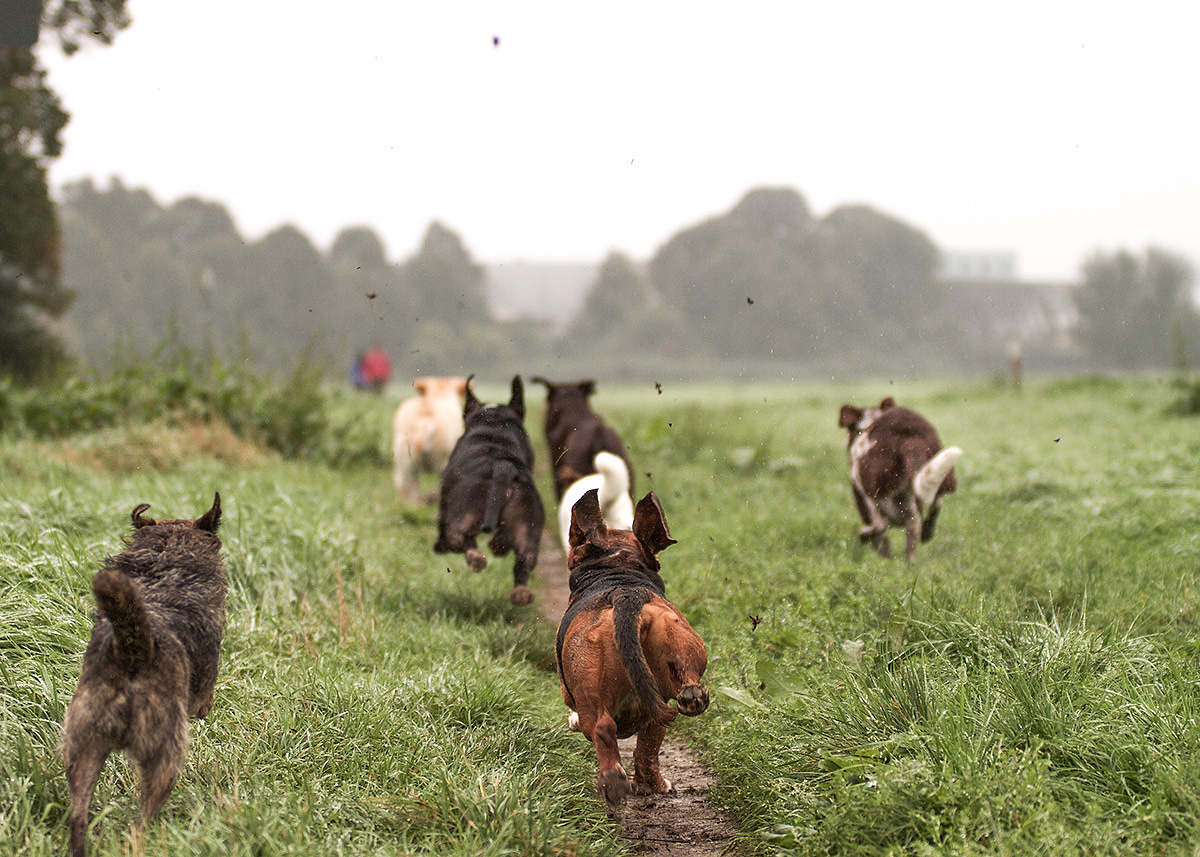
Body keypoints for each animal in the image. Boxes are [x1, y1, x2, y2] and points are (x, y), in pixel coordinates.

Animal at [62, 494, 225, 854]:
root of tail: (134, 652)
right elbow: (205, 699)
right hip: (165, 754)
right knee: (141, 820)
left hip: (82, 746)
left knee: (78, 816)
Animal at [432, 376, 544, 604]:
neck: (495, 424)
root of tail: (502, 466)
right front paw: (499, 544)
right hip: (527, 516)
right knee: (524, 559)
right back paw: (521, 592)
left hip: (465, 509)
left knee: (460, 537)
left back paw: (475, 558)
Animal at [556, 487, 705, 806]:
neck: (617, 571)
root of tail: (626, 595)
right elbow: (647, 749)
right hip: (678, 642)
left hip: (589, 689)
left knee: (600, 728)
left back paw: (614, 782)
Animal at [840, 396, 960, 561]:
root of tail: (908, 435)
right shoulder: (911, 518)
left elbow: (881, 541)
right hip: (941, 474)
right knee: (936, 502)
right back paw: (927, 533)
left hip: (871, 487)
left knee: (880, 524)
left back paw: (864, 535)